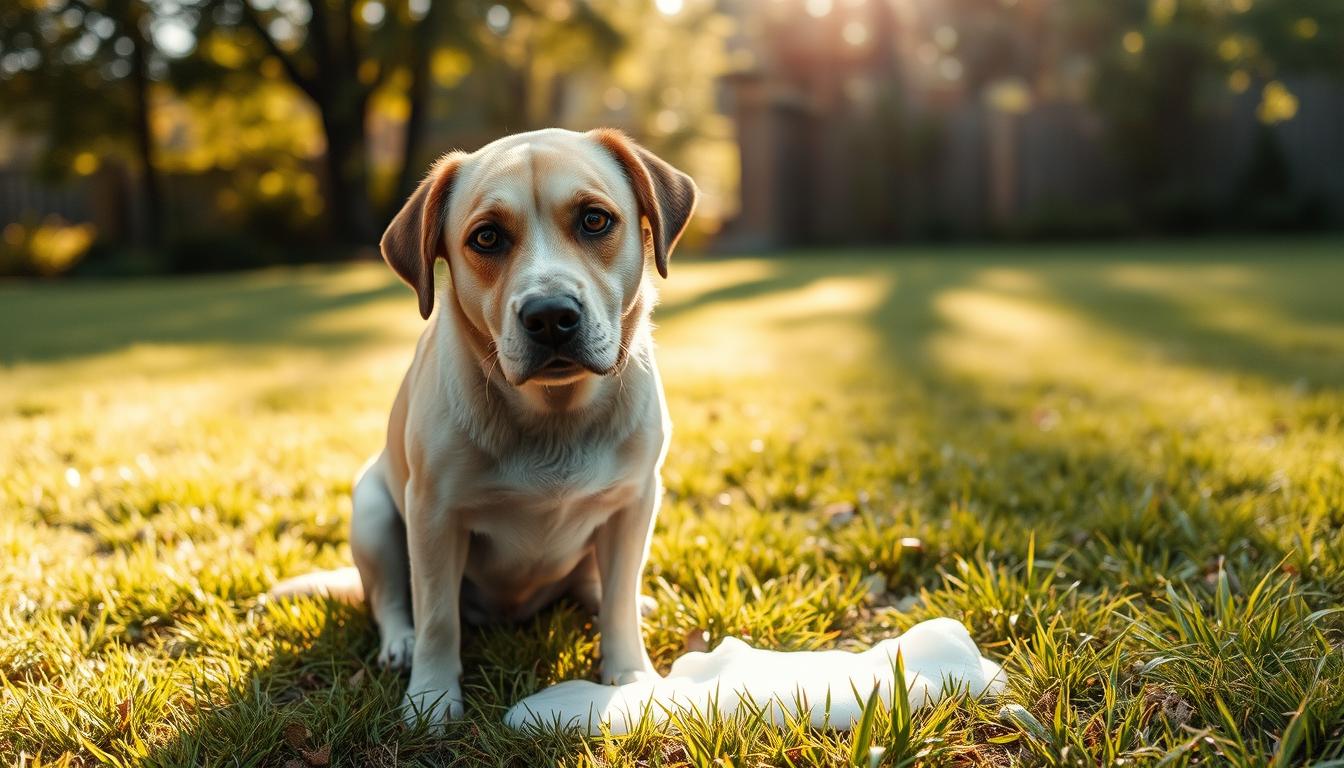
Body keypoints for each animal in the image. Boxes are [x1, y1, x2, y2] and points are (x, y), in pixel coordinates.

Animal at [276, 129, 698, 731]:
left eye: (595, 220)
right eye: (488, 237)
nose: (550, 316)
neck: (554, 417)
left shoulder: (634, 504)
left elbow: (618, 600)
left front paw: (631, 675)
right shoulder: (432, 515)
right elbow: (436, 617)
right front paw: (431, 697)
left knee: (596, 585)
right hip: (373, 509)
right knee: (390, 599)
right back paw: (400, 642)